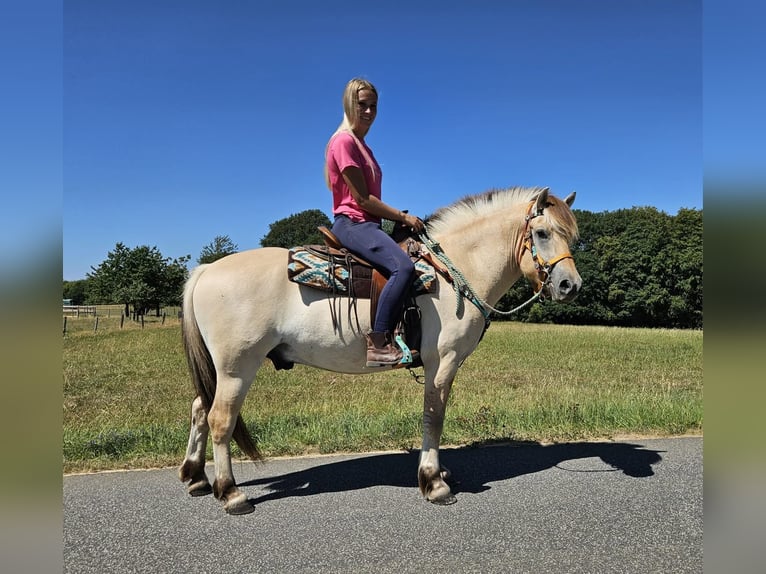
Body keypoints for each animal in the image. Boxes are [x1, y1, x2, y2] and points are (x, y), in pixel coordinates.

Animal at [179, 186, 581, 515]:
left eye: (571, 237)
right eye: (542, 233)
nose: (570, 286)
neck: (453, 272)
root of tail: (207, 270)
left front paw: (439, 471)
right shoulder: (443, 362)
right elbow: (434, 417)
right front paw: (434, 482)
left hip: (222, 368)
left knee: (200, 408)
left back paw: (196, 477)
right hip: (237, 367)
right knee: (220, 418)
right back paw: (231, 493)